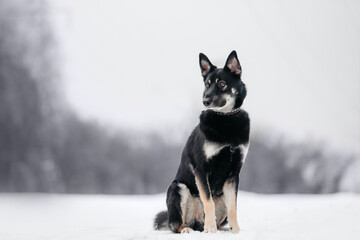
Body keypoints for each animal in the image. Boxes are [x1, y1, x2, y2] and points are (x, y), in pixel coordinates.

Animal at [153, 50, 249, 232]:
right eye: (207, 84)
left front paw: (237, 231)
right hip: (178, 188)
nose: (205, 101)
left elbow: (233, 207)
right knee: (175, 224)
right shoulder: (201, 169)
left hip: (221, 195)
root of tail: (196, 222)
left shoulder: (233, 174)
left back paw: (222, 229)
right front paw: (209, 229)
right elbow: (208, 201)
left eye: (222, 84)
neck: (226, 118)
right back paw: (188, 229)